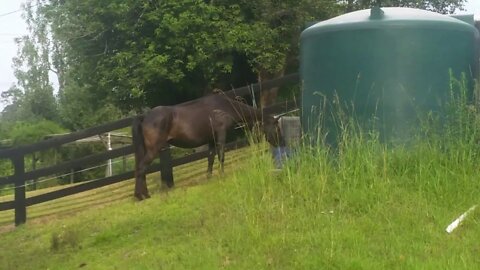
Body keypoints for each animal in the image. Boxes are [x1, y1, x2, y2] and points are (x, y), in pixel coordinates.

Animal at [131, 94, 284, 199]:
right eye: (277, 128)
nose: (281, 143)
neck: (223, 108)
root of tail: (145, 117)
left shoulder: (211, 139)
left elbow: (210, 158)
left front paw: (209, 176)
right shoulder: (221, 134)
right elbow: (221, 155)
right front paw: (222, 174)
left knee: (140, 169)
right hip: (153, 149)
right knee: (141, 168)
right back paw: (142, 195)